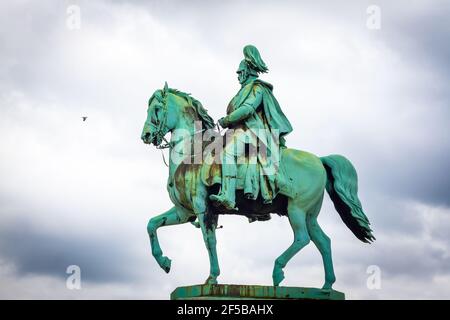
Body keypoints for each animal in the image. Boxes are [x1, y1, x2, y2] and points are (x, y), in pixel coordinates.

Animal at [141, 83, 372, 290]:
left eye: (157, 109)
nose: (145, 136)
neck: (191, 153)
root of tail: (319, 159)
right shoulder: (184, 211)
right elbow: (152, 225)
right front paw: (164, 262)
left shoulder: (202, 208)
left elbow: (209, 240)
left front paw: (212, 277)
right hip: (310, 214)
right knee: (323, 241)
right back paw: (326, 286)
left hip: (297, 209)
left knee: (302, 238)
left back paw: (278, 271)